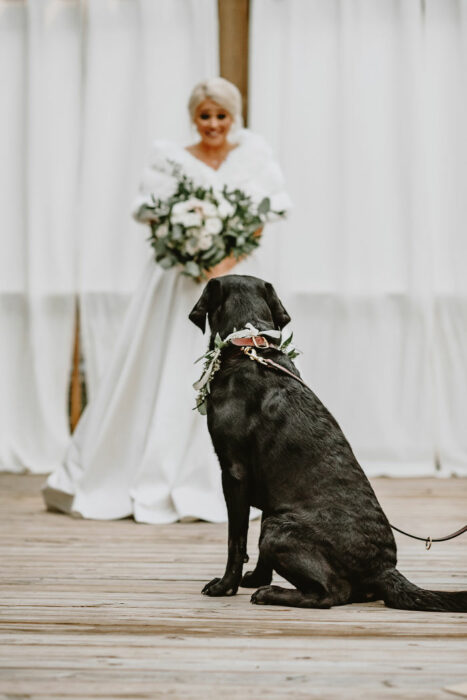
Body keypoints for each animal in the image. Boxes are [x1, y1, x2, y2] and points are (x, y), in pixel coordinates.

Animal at [189, 274, 467, 612]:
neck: (249, 345)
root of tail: (384, 568)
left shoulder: (234, 473)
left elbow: (236, 539)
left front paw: (225, 585)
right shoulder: (272, 489)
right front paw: (256, 577)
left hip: (279, 529)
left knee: (333, 593)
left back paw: (272, 594)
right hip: (279, 519)